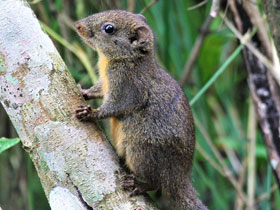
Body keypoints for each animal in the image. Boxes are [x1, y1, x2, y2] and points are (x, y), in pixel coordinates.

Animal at [73, 9, 207, 210]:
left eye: (109, 28)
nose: (77, 25)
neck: (128, 59)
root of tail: (180, 180)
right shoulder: (106, 84)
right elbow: (97, 91)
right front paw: (84, 91)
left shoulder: (129, 88)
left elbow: (114, 107)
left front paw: (90, 113)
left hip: (140, 153)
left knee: (158, 184)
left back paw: (138, 185)